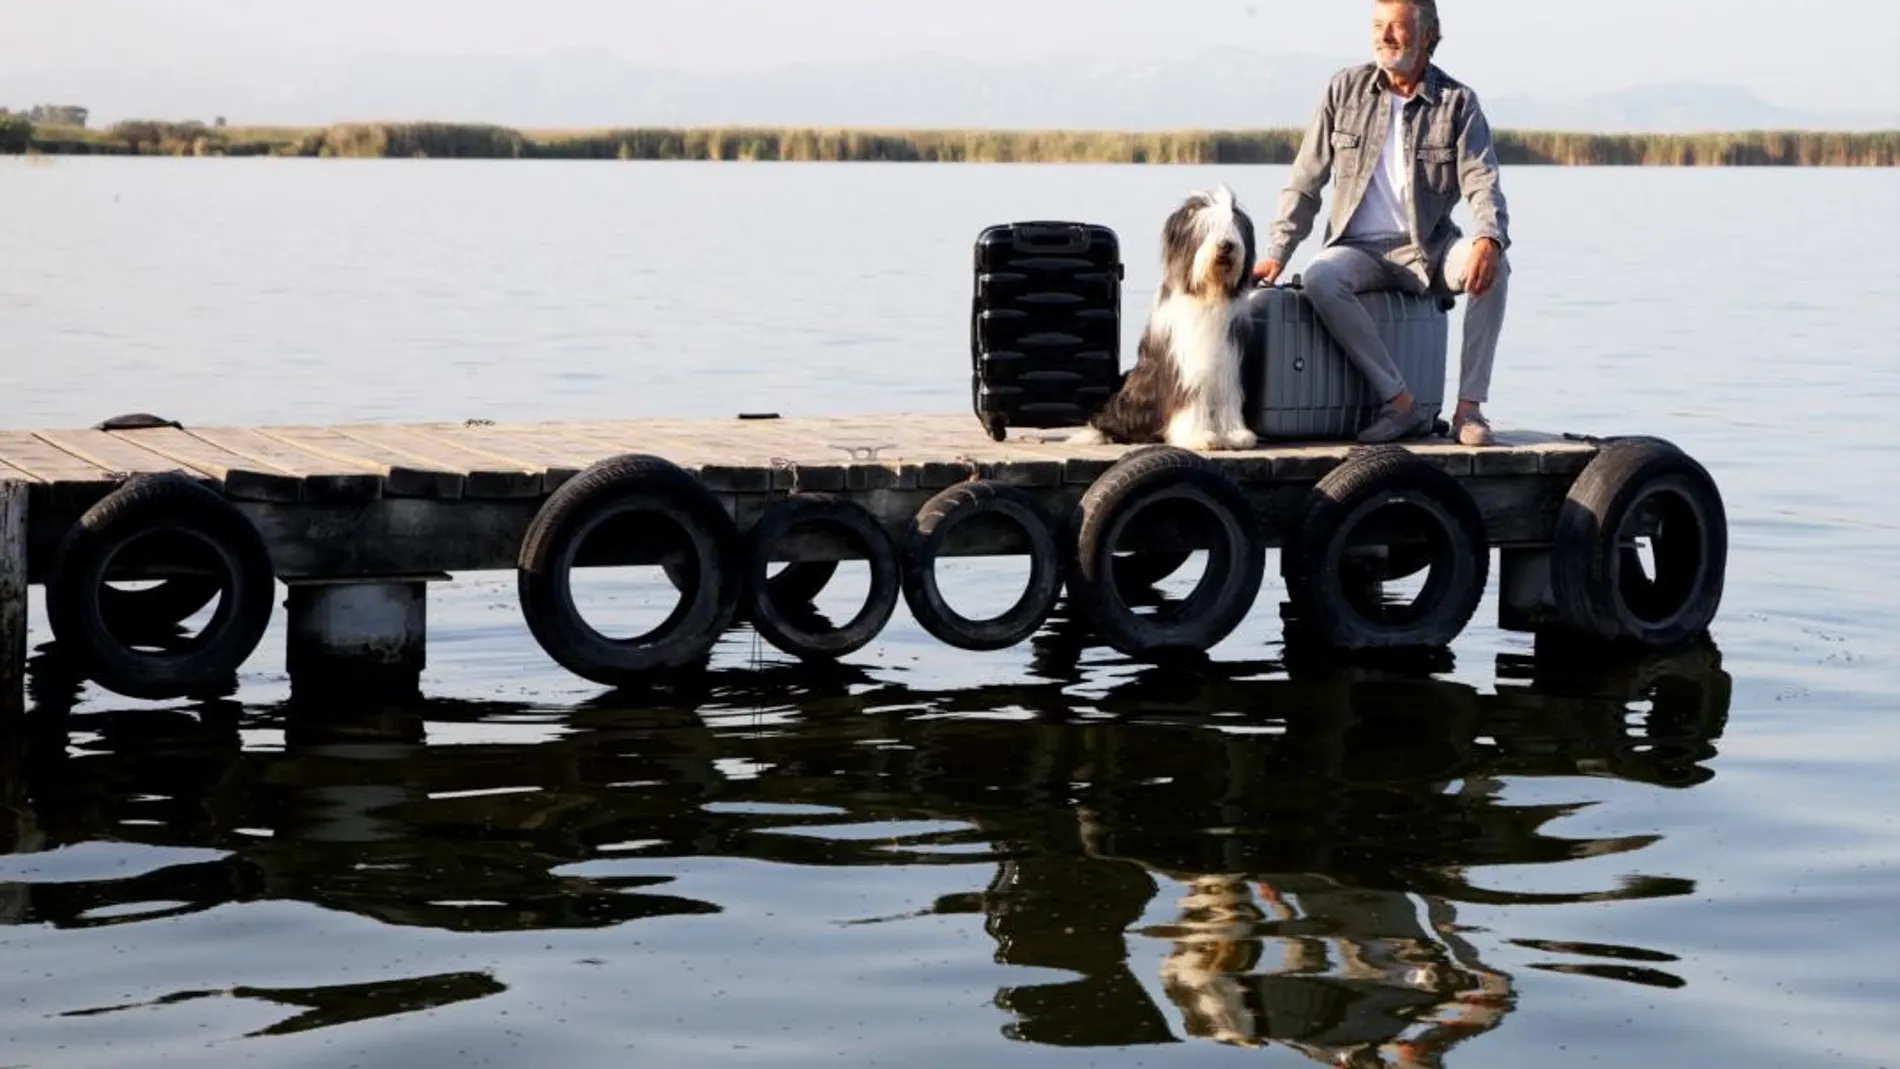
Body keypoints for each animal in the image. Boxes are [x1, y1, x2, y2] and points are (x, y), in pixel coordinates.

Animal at [1071, 185, 1261, 451]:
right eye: (1207, 228)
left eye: (1232, 227)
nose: (1226, 245)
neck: (1208, 295)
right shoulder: (1187, 364)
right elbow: (1190, 399)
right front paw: (1198, 436)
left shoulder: (1228, 364)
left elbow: (1227, 398)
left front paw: (1234, 435)